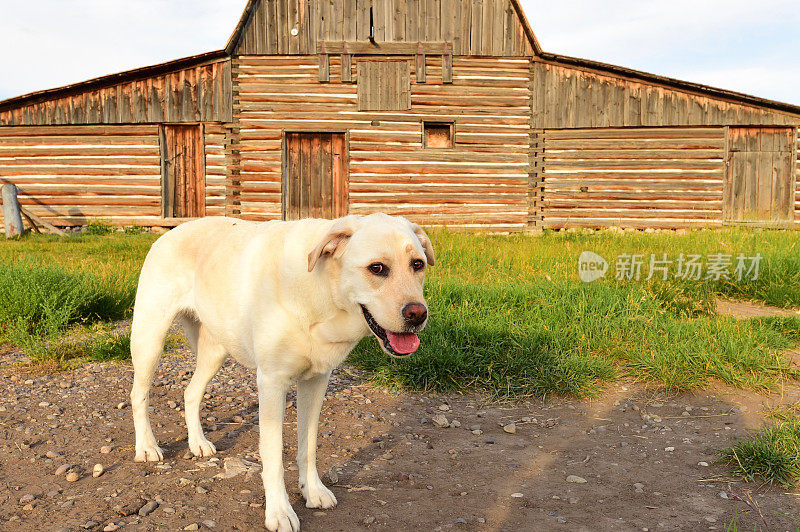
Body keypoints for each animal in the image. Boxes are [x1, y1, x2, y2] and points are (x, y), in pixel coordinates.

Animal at [129, 214, 434, 528]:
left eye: (418, 264)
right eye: (377, 268)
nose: (418, 314)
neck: (319, 292)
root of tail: (171, 231)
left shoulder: (316, 382)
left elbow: (308, 446)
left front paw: (313, 491)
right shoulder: (272, 383)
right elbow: (273, 456)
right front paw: (279, 511)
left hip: (215, 351)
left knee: (190, 393)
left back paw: (198, 443)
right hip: (150, 339)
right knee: (138, 395)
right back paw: (147, 447)